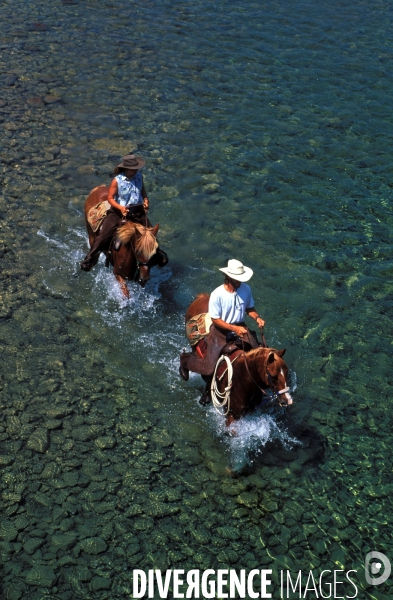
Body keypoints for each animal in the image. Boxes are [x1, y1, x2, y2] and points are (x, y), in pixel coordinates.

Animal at [184, 294, 290, 426]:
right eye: (273, 376)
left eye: (286, 373)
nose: (287, 400)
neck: (243, 378)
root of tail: (201, 297)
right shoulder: (231, 414)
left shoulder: (248, 411)